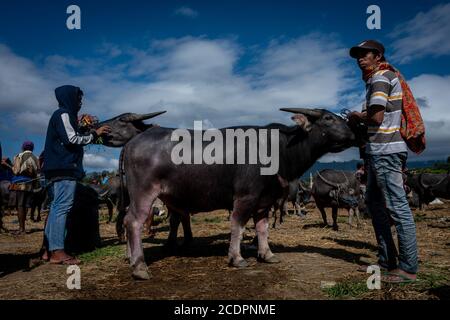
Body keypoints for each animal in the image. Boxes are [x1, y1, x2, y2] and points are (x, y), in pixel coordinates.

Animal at [119, 109, 358, 278]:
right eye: (328, 118)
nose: (353, 133)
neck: (278, 149)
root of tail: (132, 142)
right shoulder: (245, 197)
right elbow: (238, 225)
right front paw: (236, 258)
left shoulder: (264, 201)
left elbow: (262, 228)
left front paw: (267, 254)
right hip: (144, 193)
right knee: (134, 222)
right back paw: (139, 267)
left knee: (127, 220)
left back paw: (130, 257)